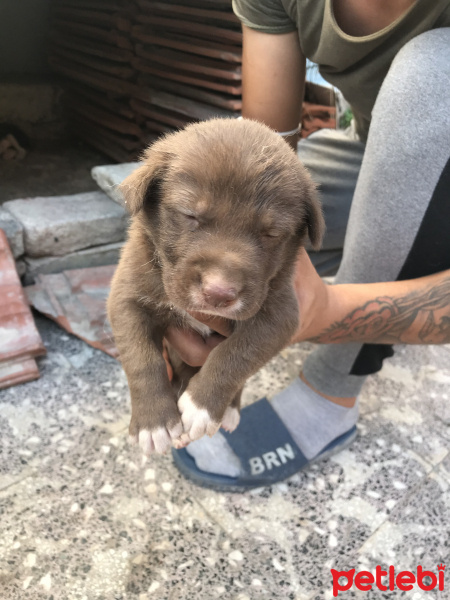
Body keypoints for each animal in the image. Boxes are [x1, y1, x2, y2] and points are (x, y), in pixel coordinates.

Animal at [106, 118, 324, 454]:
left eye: (272, 233)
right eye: (190, 215)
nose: (218, 293)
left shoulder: (279, 314)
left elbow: (236, 355)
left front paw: (201, 407)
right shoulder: (126, 296)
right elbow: (142, 359)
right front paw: (154, 423)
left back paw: (229, 411)